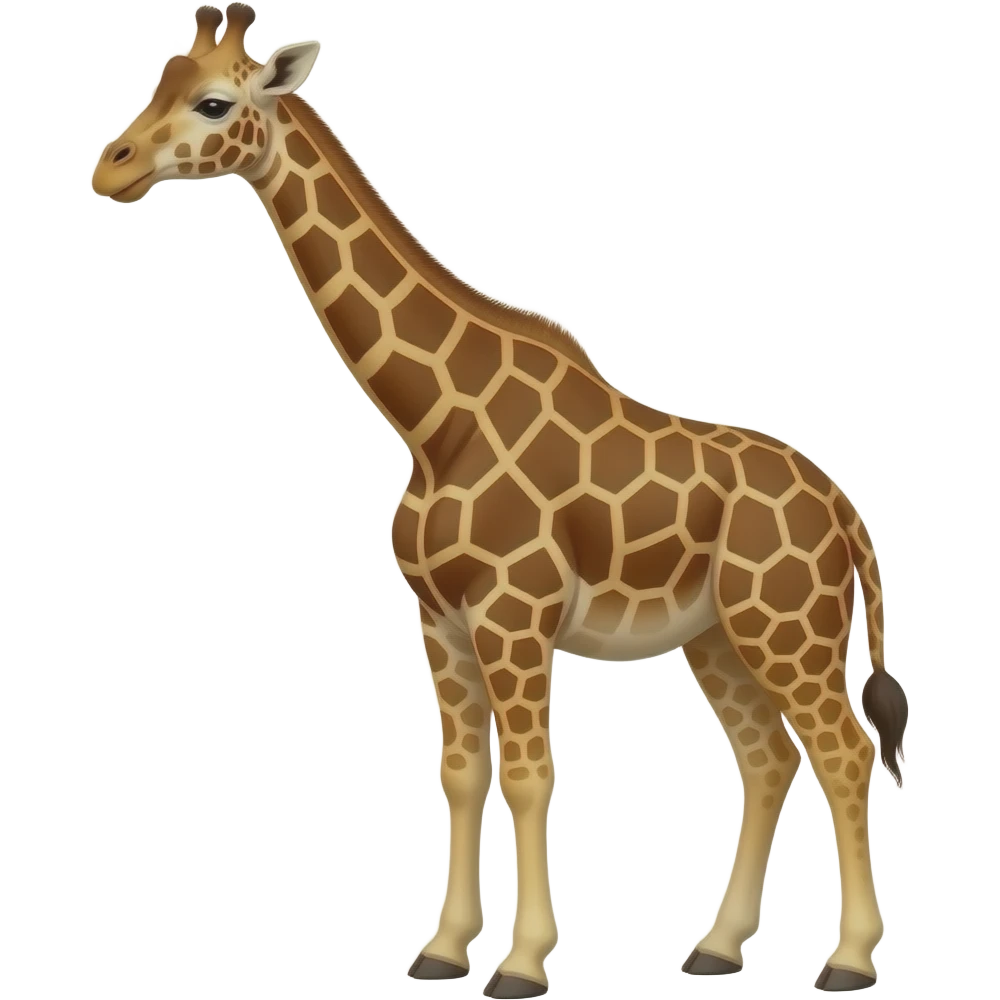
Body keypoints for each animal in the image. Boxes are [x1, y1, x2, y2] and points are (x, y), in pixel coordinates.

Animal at [89, 5, 909, 996]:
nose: (111, 168)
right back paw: (716, 945)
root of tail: (844, 510)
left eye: (213, 101)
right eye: (159, 83)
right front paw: (443, 950)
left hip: (790, 629)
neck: (435, 424)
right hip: (717, 636)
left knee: (843, 752)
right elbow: (459, 771)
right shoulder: (440, 620)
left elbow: (527, 773)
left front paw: (521, 962)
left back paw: (850, 960)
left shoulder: (514, 614)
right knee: (767, 756)